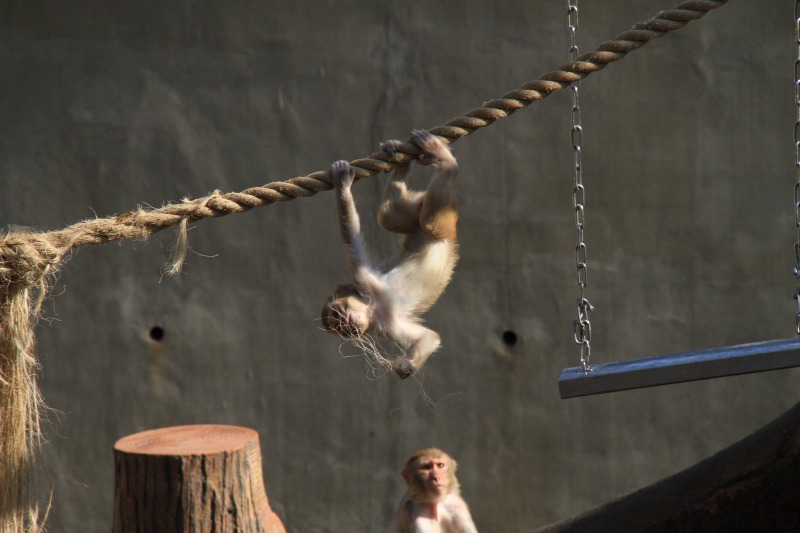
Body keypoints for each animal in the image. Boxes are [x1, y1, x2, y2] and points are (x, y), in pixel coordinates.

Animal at [318, 130, 456, 376]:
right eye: (338, 328)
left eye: (338, 315)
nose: (346, 326)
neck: (373, 309)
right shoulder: (384, 327)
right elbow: (428, 338)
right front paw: (406, 367)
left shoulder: (367, 284)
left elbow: (351, 240)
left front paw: (342, 184)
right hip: (420, 214)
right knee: (390, 215)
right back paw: (401, 166)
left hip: (440, 220)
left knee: (426, 221)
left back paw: (445, 160)